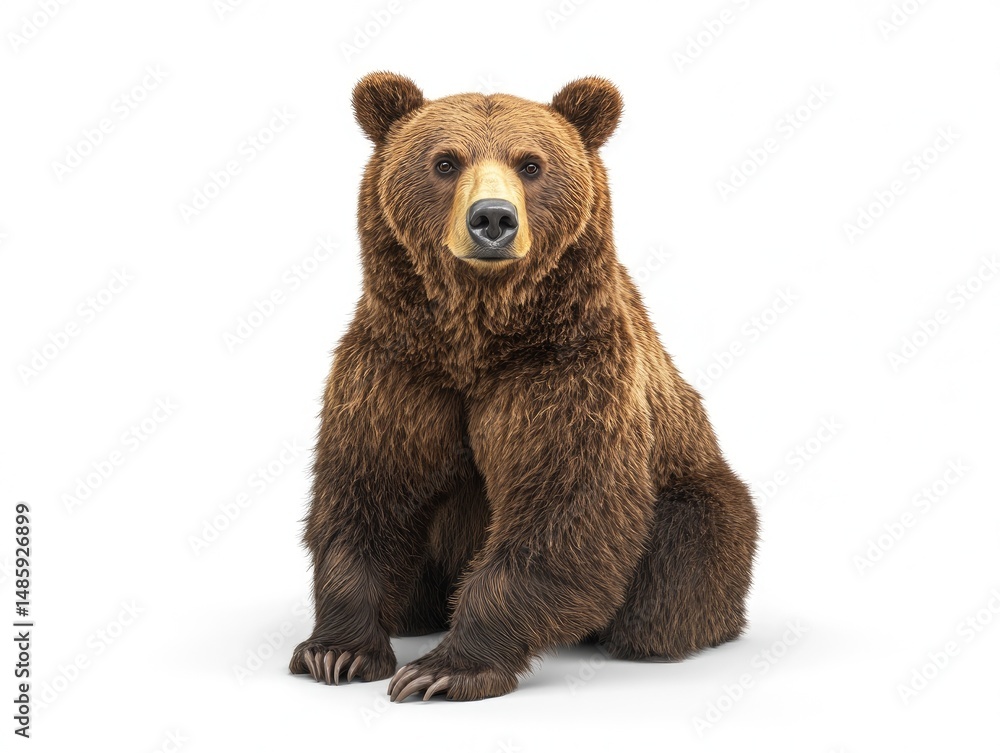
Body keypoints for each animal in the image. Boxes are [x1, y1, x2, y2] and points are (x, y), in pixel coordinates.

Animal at [289, 72, 759, 702]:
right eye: (445, 161)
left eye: (531, 164)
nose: (492, 219)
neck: (476, 337)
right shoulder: (399, 370)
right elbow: (367, 491)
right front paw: (336, 651)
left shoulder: (565, 372)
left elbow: (564, 506)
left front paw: (442, 670)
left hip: (693, 494)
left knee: (682, 566)